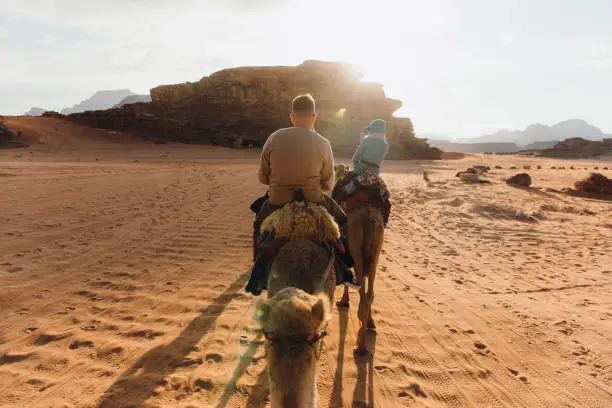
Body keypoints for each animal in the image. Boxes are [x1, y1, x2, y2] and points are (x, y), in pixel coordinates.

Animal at [332, 163, 384, 354]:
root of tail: (368, 214)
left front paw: (343, 301)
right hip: (375, 250)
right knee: (369, 293)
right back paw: (370, 323)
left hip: (356, 247)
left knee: (363, 295)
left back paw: (360, 346)